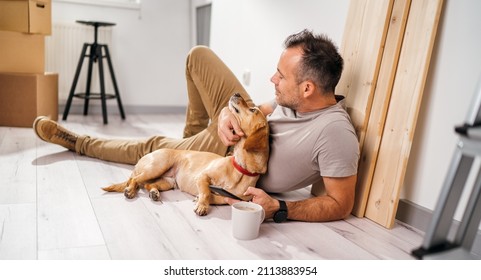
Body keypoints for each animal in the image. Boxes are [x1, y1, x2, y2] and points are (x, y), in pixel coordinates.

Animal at [101, 93, 268, 215]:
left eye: (253, 110)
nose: (237, 93)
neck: (240, 169)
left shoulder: (235, 199)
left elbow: (219, 198)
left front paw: (202, 200)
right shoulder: (202, 176)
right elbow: (206, 192)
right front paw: (202, 205)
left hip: (167, 181)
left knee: (148, 184)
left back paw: (154, 193)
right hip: (157, 167)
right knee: (133, 179)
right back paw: (130, 190)